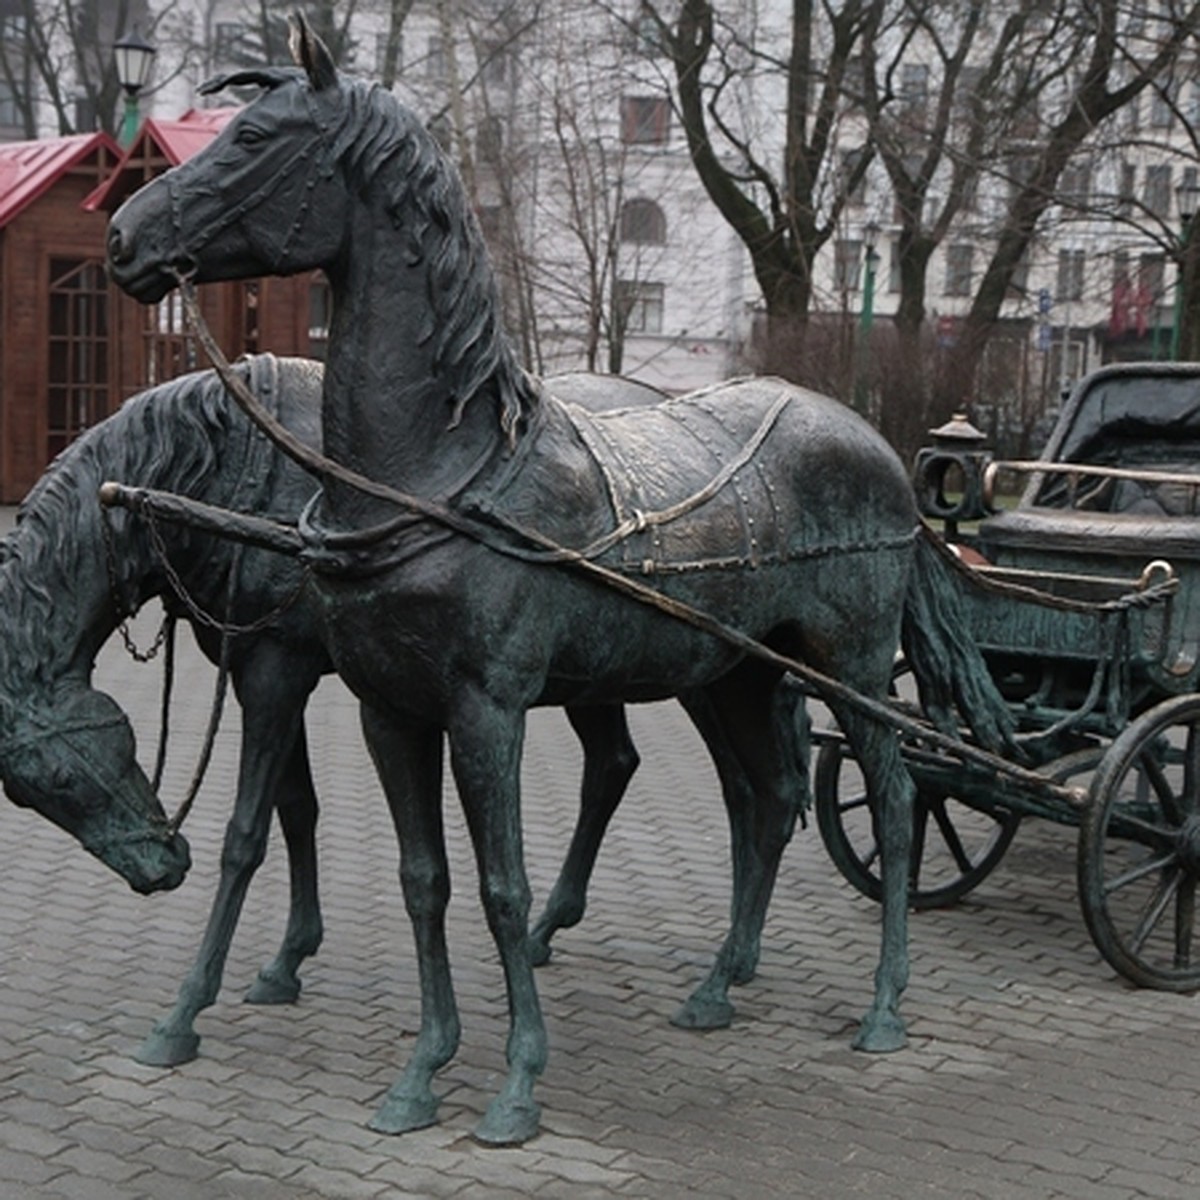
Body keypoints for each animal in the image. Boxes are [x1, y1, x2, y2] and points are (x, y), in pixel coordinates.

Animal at [103, 16, 998, 1142]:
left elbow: (503, 887)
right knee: (766, 801)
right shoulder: (388, 709)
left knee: (889, 801)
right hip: (738, 675)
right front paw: (422, 1070)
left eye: (256, 140)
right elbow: (425, 880)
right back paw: (717, 986)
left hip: (854, 672)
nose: (122, 238)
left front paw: (515, 1084)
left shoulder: (488, 709)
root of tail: (876, 444)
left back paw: (883, 1004)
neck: (436, 472)